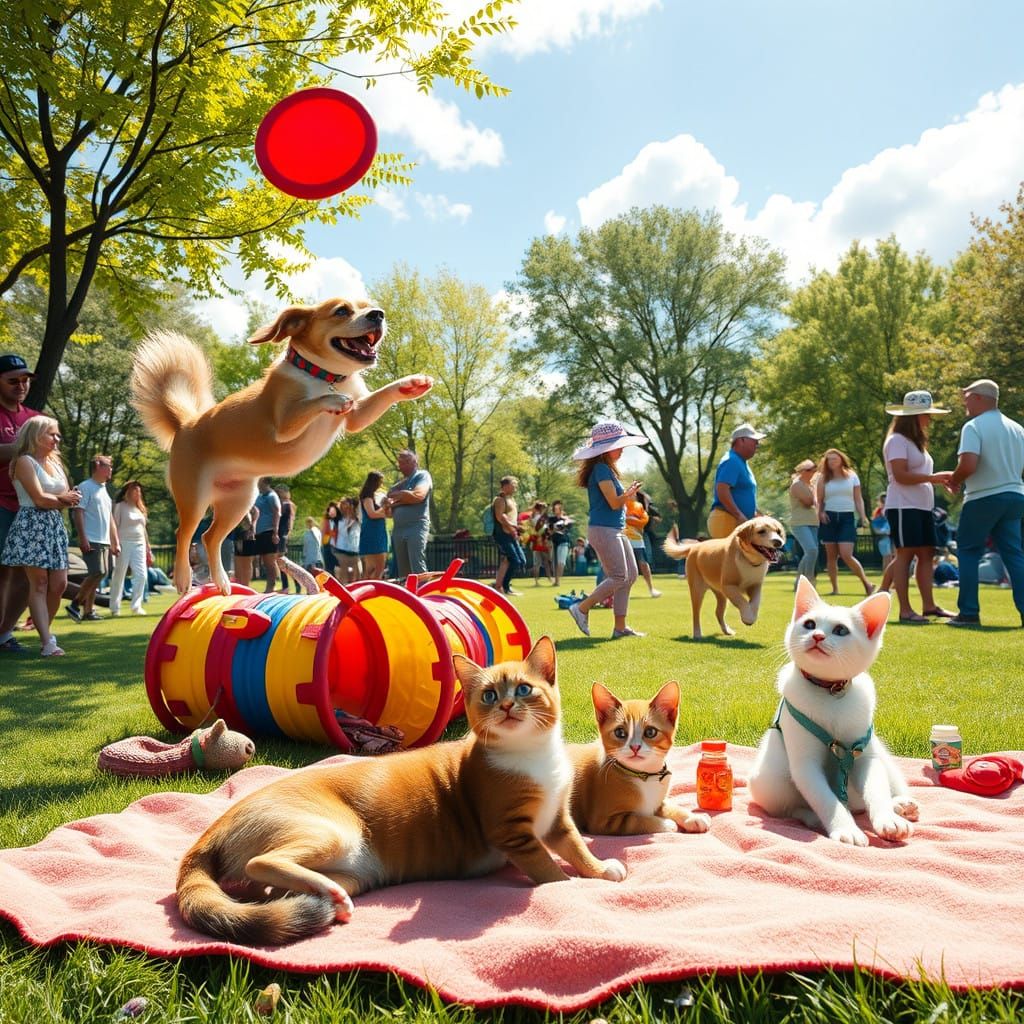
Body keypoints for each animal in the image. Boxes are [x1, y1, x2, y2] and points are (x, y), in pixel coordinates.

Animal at [130, 296, 430, 598]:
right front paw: (332, 400)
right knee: (184, 534)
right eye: (341, 311)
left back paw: (223, 582)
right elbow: (312, 403)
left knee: (209, 537)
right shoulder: (284, 426)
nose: (378, 314)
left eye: (368, 305)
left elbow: (377, 397)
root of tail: (186, 424)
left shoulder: (357, 416)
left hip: (239, 501)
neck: (324, 376)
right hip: (195, 498)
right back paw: (183, 577)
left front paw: (410, 383)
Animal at [178, 634, 622, 946]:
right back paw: (324, 892)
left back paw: (324, 899)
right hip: (330, 832)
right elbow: (548, 870)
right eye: (489, 695)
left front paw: (600, 869)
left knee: (267, 892)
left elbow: (577, 848)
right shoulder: (512, 832)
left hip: (354, 872)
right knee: (260, 865)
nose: (507, 707)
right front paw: (572, 888)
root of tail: (213, 829)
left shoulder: (558, 821)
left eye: (525, 689)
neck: (532, 754)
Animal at [569, 684, 712, 835]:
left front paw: (693, 817)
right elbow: (636, 820)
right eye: (620, 732)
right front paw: (667, 824)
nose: (635, 747)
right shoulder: (602, 821)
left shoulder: (659, 801)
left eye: (650, 732)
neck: (645, 776)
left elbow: (670, 806)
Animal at [745, 577, 921, 847]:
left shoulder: (864, 754)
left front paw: (887, 818)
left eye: (841, 630)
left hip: (884, 756)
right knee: (791, 808)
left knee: (884, 783)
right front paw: (846, 828)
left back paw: (899, 804)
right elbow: (827, 800)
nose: (817, 635)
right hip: (768, 780)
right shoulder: (804, 765)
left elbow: (876, 787)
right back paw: (812, 818)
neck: (830, 692)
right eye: (809, 624)